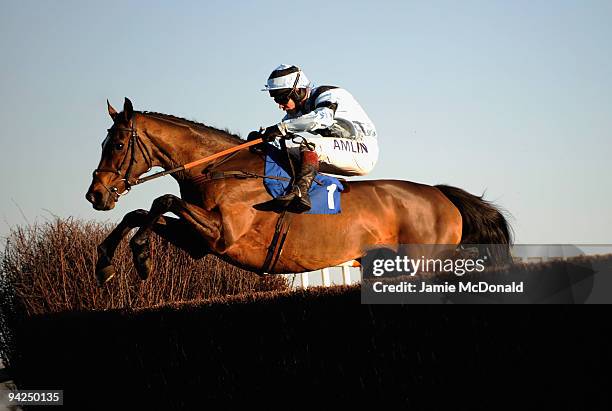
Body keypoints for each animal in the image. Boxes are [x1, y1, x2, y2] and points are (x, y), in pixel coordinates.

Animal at [83, 99, 510, 286]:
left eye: (116, 145)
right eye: (103, 142)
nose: (96, 195)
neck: (218, 168)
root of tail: (442, 196)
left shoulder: (224, 234)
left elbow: (162, 201)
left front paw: (140, 257)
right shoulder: (199, 242)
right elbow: (139, 213)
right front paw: (106, 263)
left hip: (425, 265)